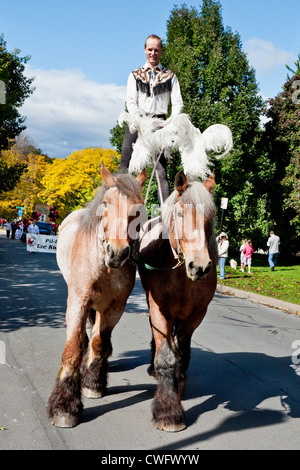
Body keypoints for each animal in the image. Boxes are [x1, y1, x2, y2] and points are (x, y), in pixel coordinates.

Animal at [47, 163, 147, 428]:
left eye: (139, 209)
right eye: (106, 204)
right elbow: (73, 348)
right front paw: (64, 406)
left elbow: (99, 343)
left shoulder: (114, 307)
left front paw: (93, 381)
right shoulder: (78, 302)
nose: (118, 253)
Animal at [137, 170, 217, 434]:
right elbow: (166, 358)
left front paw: (178, 386)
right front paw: (168, 409)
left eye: (210, 216)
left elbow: (182, 354)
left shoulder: (194, 316)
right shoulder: (159, 309)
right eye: (180, 213)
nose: (200, 266)